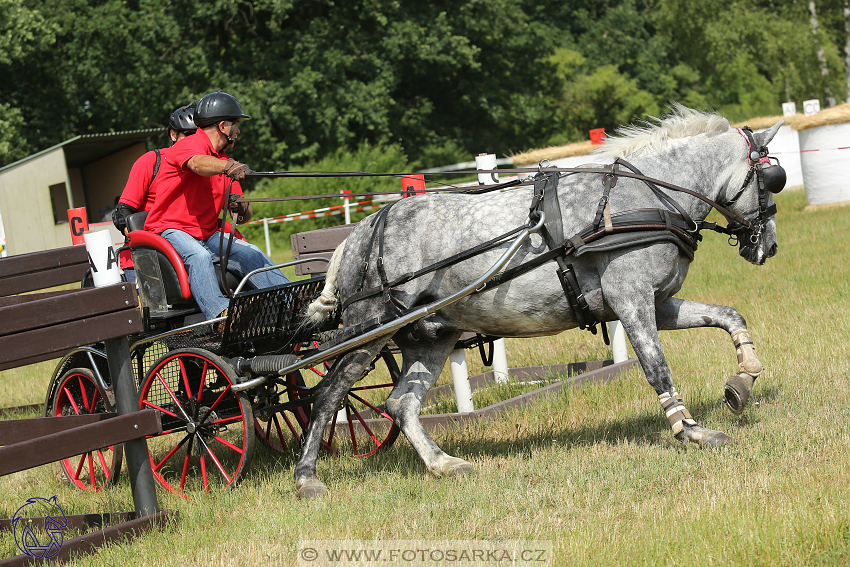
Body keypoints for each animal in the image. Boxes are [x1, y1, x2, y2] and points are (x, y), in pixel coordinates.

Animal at [294, 106, 780, 496]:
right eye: (773, 179)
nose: (769, 247)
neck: (646, 196)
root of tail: (357, 234)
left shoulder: (657, 303)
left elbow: (728, 316)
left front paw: (743, 382)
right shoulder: (632, 300)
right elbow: (657, 367)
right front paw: (691, 431)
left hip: (430, 336)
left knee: (401, 404)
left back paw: (443, 464)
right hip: (370, 332)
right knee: (328, 394)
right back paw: (306, 478)